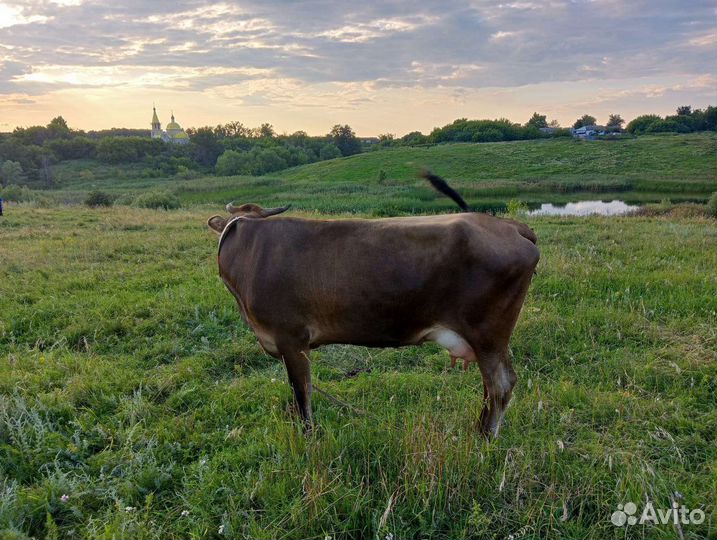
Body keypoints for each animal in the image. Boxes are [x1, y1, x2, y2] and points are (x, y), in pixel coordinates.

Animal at [207, 172, 539, 437]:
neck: (249, 251)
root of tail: (509, 225)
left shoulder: (291, 338)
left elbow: (302, 396)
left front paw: (308, 438)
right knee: (493, 386)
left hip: (488, 333)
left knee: (500, 385)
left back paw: (484, 438)